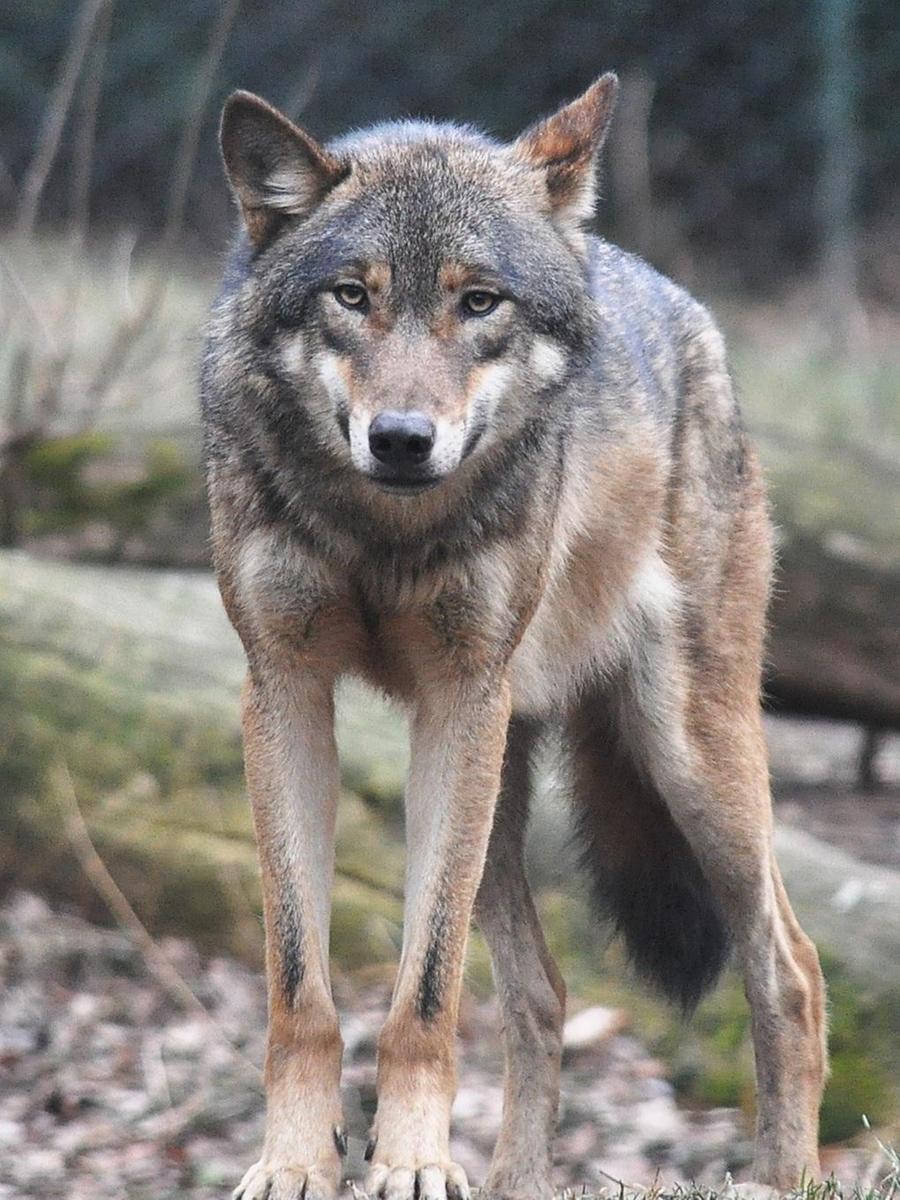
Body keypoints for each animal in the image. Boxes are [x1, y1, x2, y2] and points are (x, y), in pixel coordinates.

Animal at [200, 75, 830, 1200]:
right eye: (351, 297)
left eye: (479, 301)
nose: (402, 439)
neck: (385, 533)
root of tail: (682, 306)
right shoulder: (284, 690)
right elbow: (301, 987)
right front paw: (296, 1162)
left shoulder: (460, 698)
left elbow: (424, 994)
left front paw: (409, 1163)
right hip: (497, 781)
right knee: (542, 994)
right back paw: (519, 1181)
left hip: (681, 759)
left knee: (790, 968)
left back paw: (784, 1176)